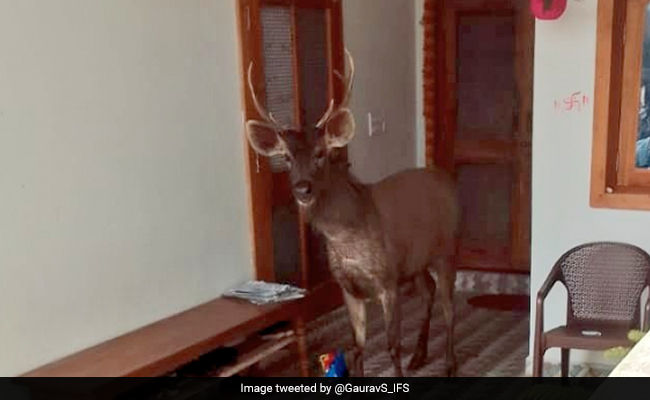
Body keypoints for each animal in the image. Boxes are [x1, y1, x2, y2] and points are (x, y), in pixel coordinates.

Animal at [244, 50, 460, 378]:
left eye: (320, 154)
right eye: (287, 157)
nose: (302, 188)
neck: (349, 237)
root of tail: (448, 181)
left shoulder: (387, 279)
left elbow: (392, 345)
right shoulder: (348, 287)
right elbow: (357, 346)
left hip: (447, 250)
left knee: (449, 307)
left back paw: (448, 364)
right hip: (417, 261)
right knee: (429, 293)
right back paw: (419, 355)